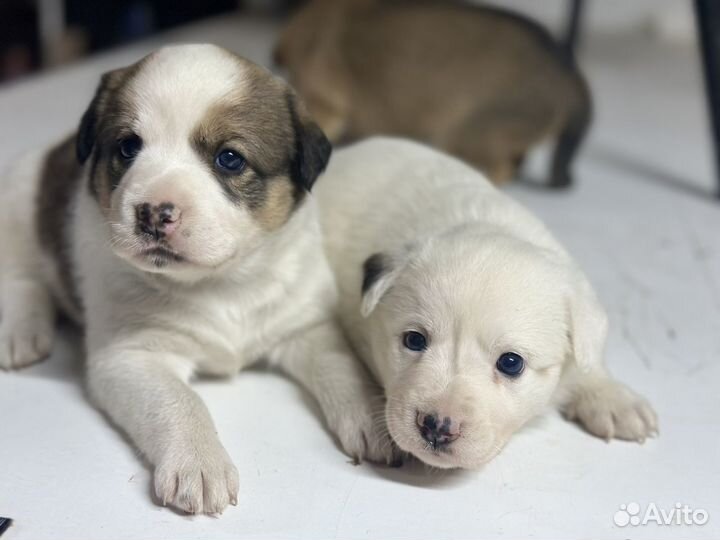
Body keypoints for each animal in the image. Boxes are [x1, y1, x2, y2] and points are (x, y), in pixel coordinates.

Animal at [0, 45, 394, 516]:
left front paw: (373, 415)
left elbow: (341, 365)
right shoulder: (133, 354)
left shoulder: (305, 324)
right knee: (20, 276)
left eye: (229, 158)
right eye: (128, 147)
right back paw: (20, 331)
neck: (221, 283)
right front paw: (199, 462)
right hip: (16, 209)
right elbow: (180, 401)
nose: (153, 211)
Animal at [316, 138, 660, 468]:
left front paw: (613, 399)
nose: (437, 427)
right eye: (414, 340)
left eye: (511, 363)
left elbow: (588, 357)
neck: (483, 222)